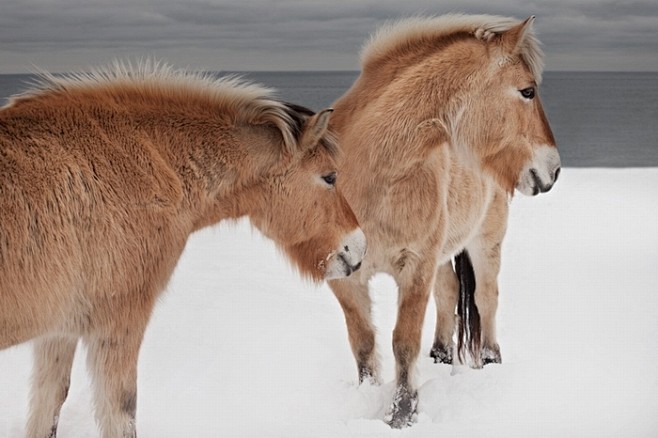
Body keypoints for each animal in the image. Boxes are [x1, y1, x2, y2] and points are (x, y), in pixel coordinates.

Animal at [0, 64, 366, 438]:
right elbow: (121, 411)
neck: (144, 161)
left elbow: (48, 405)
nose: (357, 247)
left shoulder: (59, 332)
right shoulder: (118, 322)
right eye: (330, 177)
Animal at [328, 13, 560, 428]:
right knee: (450, 291)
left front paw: (402, 415)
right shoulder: (346, 278)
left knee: (486, 298)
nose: (554, 169)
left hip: (486, 241)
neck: (368, 175)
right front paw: (369, 398)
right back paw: (440, 355)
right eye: (528, 91)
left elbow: (403, 341)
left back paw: (490, 361)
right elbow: (363, 342)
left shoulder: (415, 266)